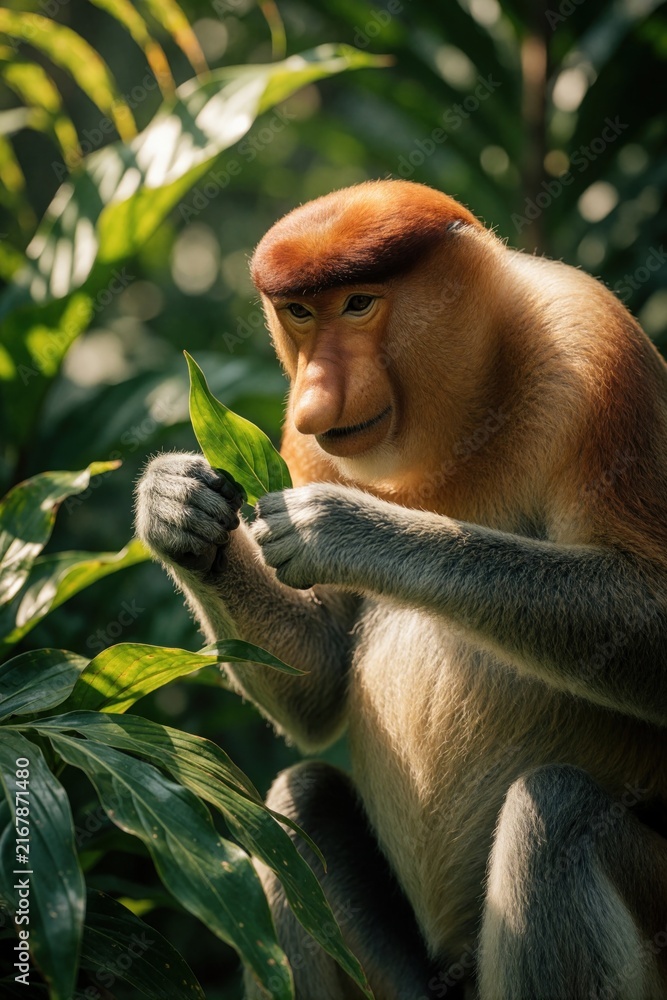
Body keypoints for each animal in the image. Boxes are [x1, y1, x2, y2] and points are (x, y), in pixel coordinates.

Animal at [135, 179, 667, 1000]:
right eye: (300, 313)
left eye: (359, 304)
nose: (315, 399)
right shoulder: (302, 445)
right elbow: (319, 679)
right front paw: (175, 507)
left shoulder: (599, 354)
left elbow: (651, 607)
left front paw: (342, 528)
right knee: (297, 801)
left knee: (555, 816)